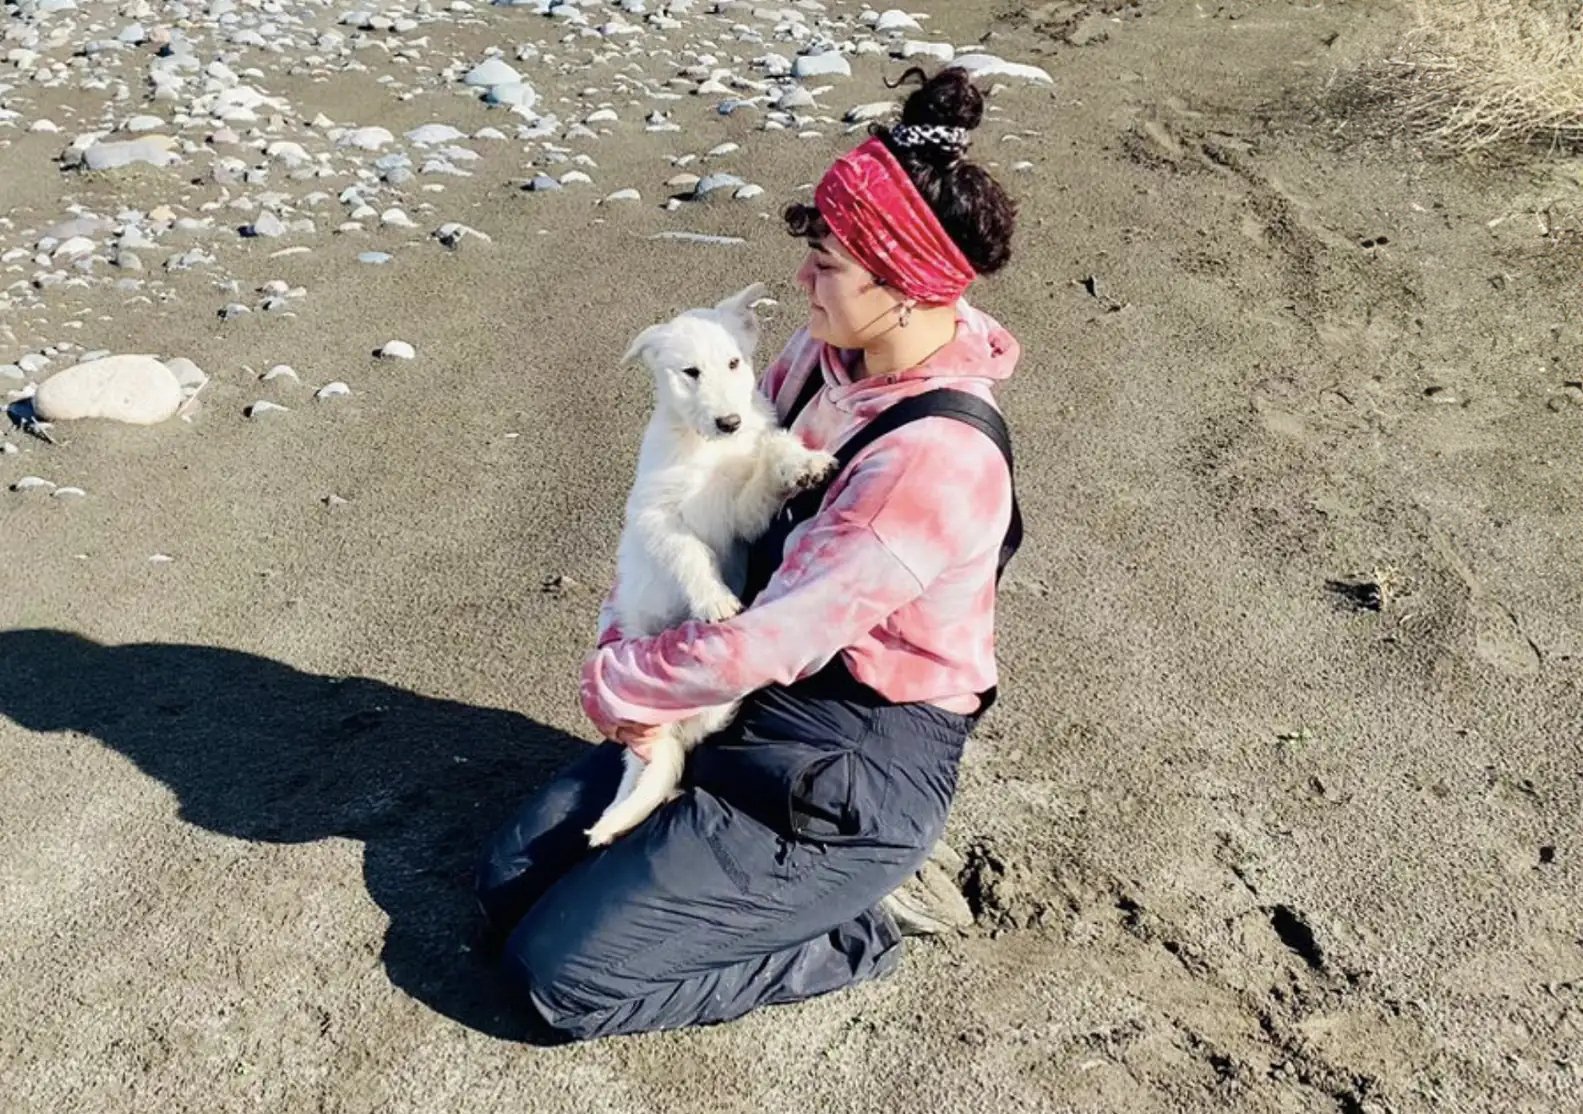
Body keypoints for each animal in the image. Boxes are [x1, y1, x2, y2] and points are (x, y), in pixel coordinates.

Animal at [588, 284, 842, 841]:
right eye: (690, 373)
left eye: (733, 362)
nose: (730, 422)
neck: (704, 446)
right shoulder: (656, 518)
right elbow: (690, 551)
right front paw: (715, 601)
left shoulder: (742, 512)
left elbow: (768, 456)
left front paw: (802, 463)